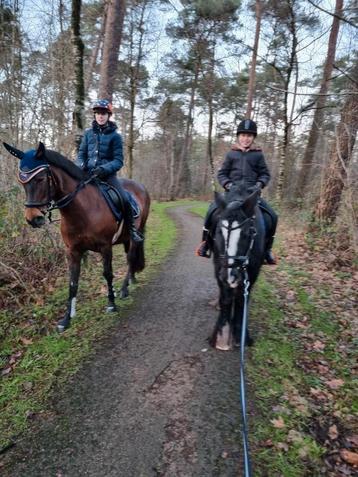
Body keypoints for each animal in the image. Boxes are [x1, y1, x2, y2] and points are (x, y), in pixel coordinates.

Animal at [3, 141, 150, 330]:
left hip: (134, 235)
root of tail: (141, 187)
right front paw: (66, 319)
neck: (83, 210)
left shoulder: (105, 247)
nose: (33, 219)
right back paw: (131, 279)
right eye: (22, 182)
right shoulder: (73, 251)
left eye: (40, 179)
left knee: (131, 257)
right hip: (125, 238)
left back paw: (124, 289)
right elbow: (73, 283)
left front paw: (111, 304)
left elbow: (107, 274)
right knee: (130, 258)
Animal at [208, 185, 264, 350]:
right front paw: (221, 336)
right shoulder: (219, 268)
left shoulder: (252, 273)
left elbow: (241, 301)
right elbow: (226, 299)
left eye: (247, 233)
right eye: (218, 231)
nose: (231, 275)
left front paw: (241, 335)